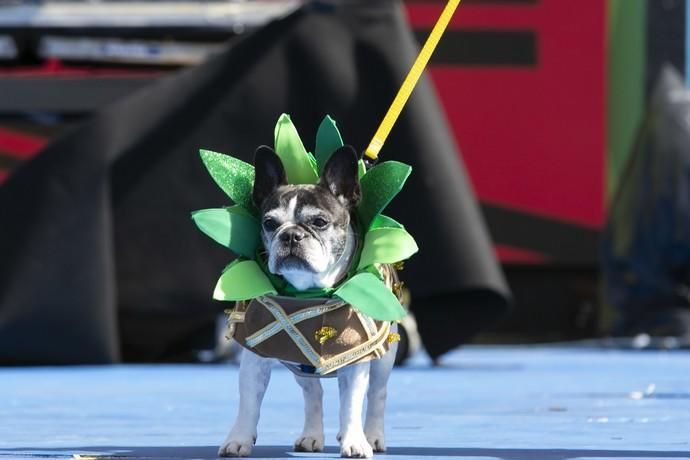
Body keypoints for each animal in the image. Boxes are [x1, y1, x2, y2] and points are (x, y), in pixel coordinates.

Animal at [218, 144, 396, 456]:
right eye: (269, 223)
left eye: (320, 222)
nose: (290, 235)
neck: (307, 290)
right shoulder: (255, 357)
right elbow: (249, 404)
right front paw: (238, 439)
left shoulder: (356, 355)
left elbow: (351, 405)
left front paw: (355, 441)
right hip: (300, 363)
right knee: (313, 394)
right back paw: (312, 436)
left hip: (384, 357)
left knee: (377, 394)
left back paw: (372, 435)